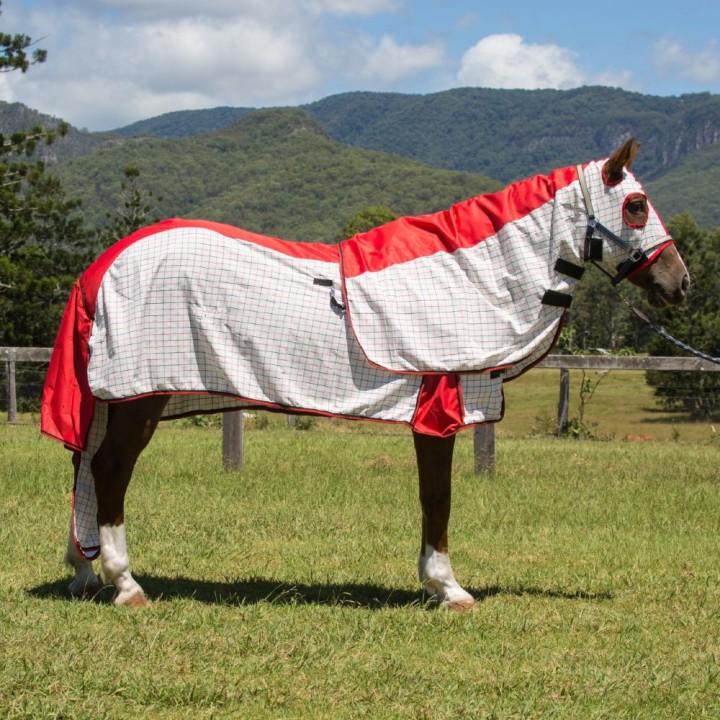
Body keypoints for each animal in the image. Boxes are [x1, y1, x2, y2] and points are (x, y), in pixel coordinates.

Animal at [41, 138, 689, 611]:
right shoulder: (437, 410)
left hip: (122, 400)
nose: (680, 283)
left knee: (85, 468)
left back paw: (85, 572)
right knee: (109, 470)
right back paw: (126, 584)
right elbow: (438, 499)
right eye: (635, 204)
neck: (468, 275)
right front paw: (448, 588)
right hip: (138, 398)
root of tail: (106, 263)